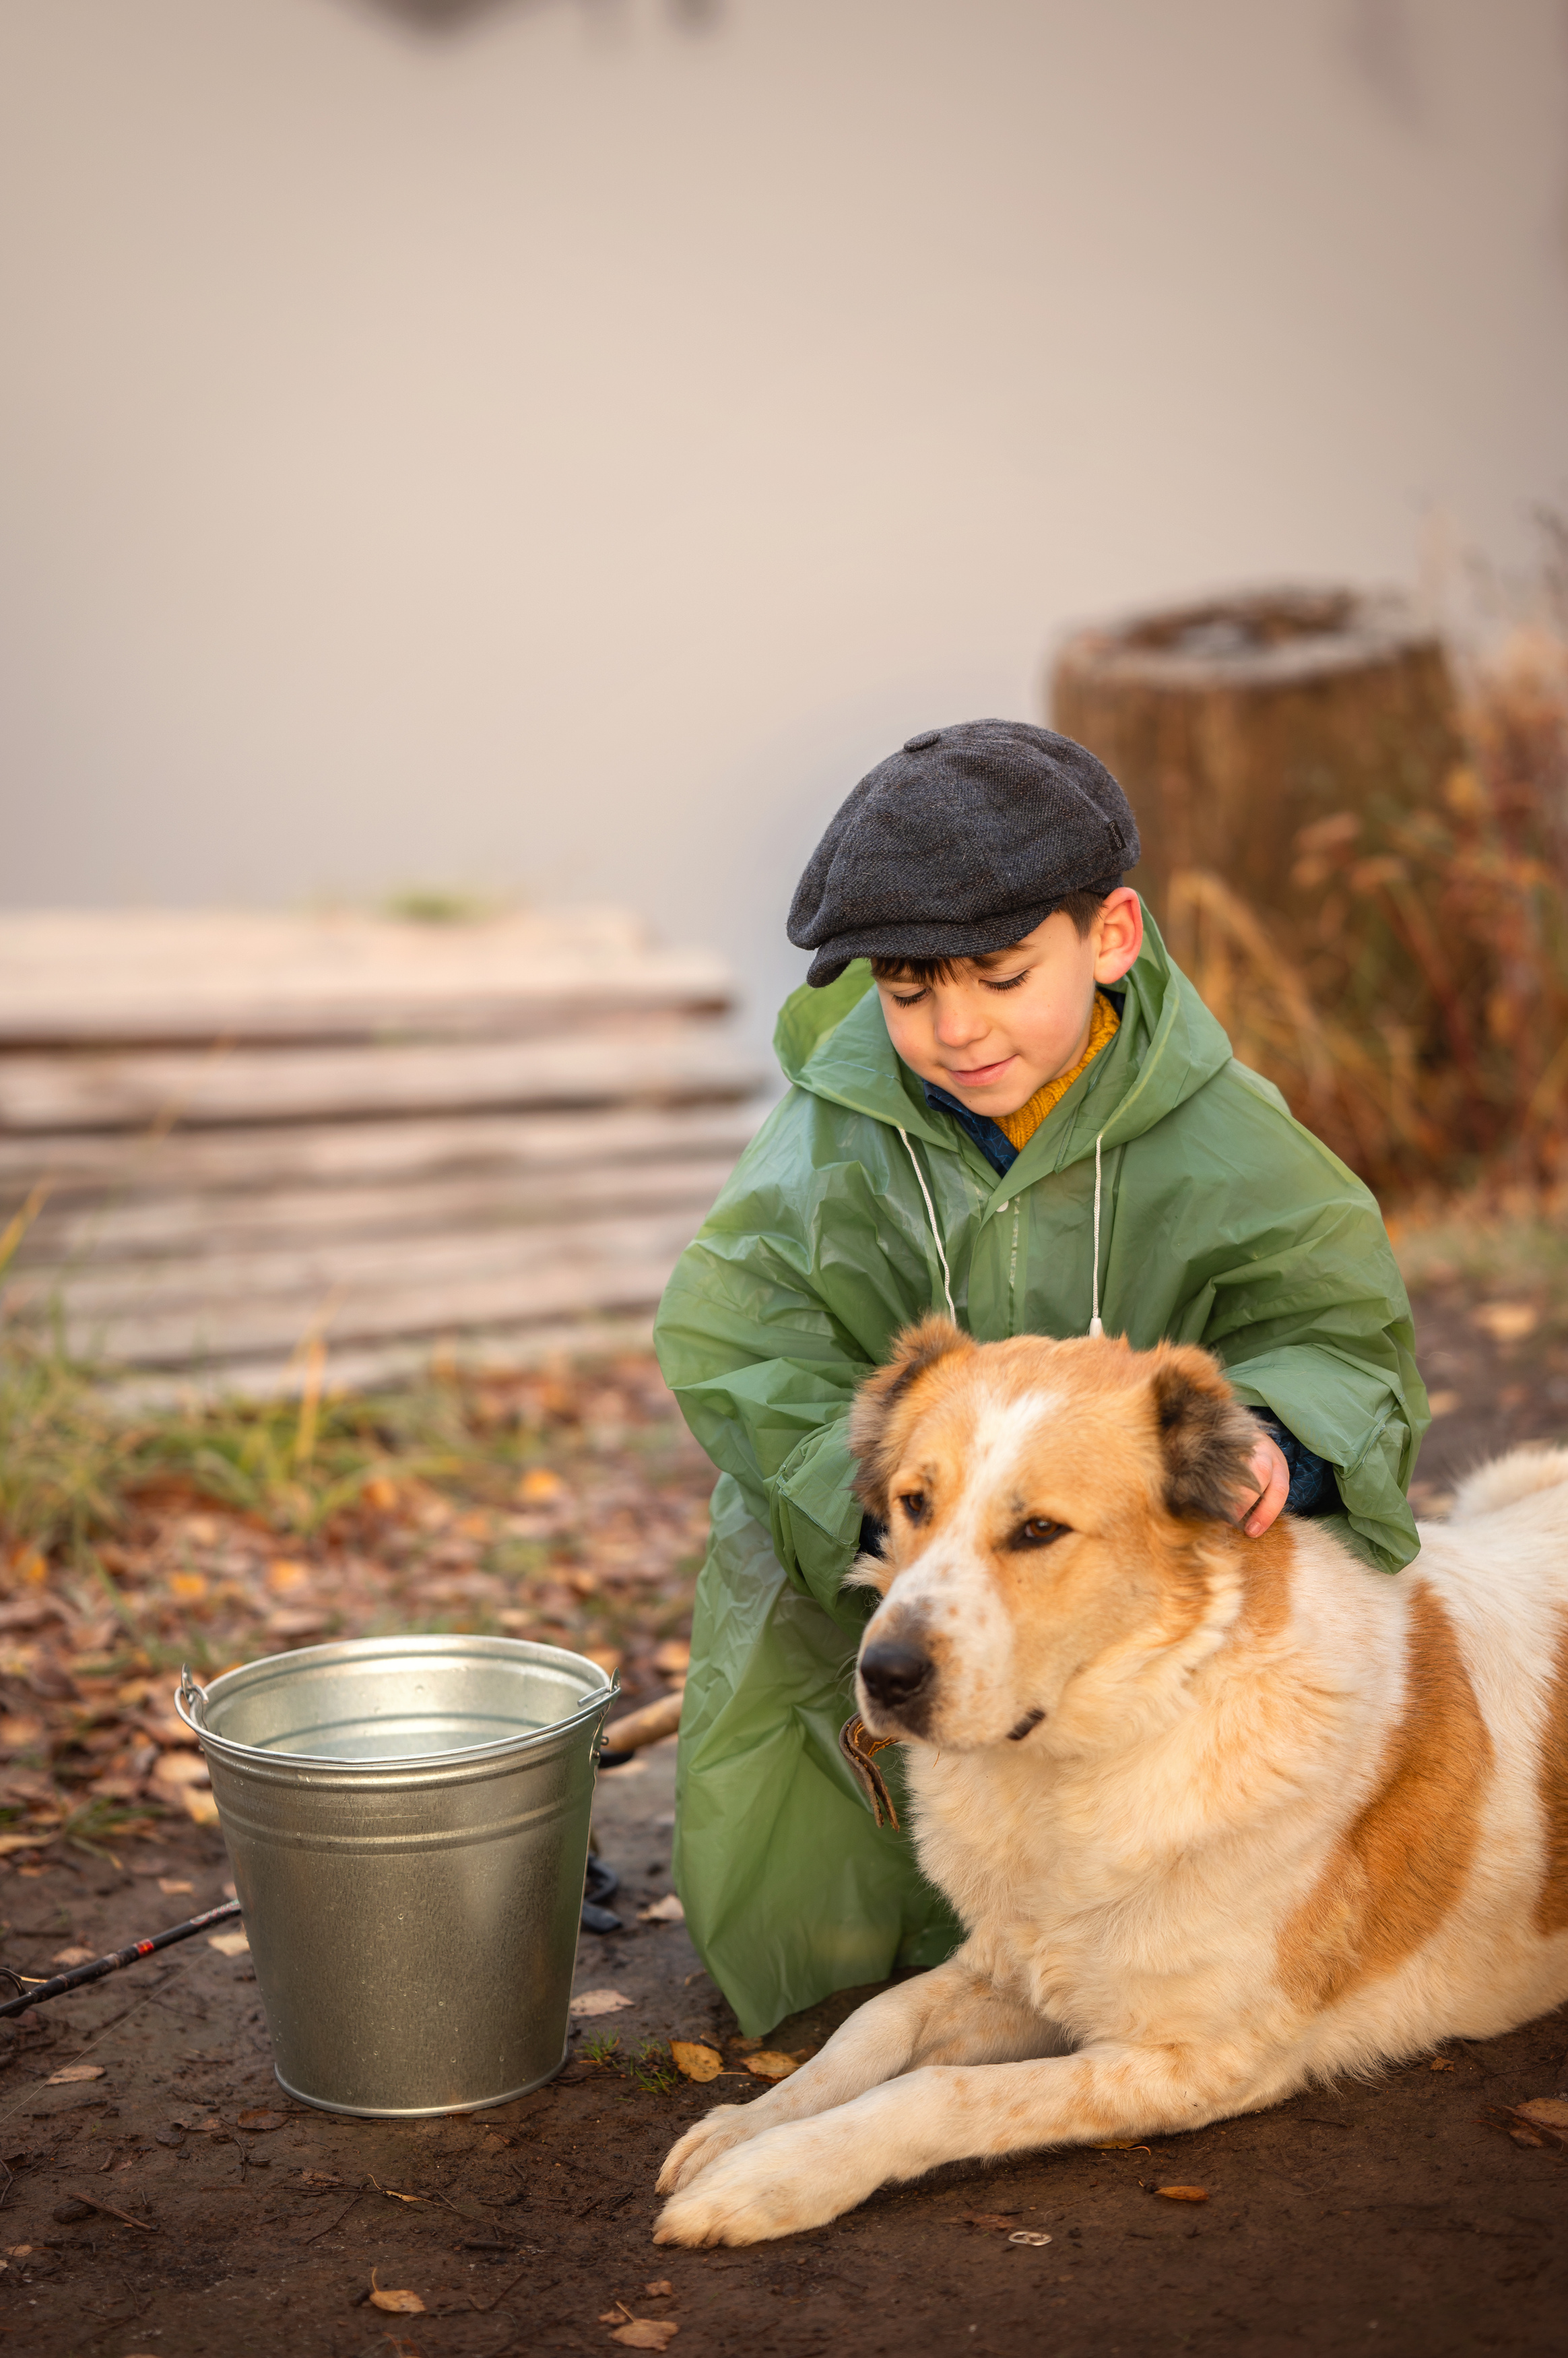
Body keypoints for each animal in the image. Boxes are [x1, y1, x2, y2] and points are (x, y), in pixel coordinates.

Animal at [646, 1320, 1565, 2235]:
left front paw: (777, 2173)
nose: (885, 1673)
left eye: (1039, 1529)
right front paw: (745, 2123)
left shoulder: (1197, 2060)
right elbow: (875, 2021)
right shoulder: (1008, 1961)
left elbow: (939, 2090)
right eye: (913, 1504)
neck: (1094, 1755)